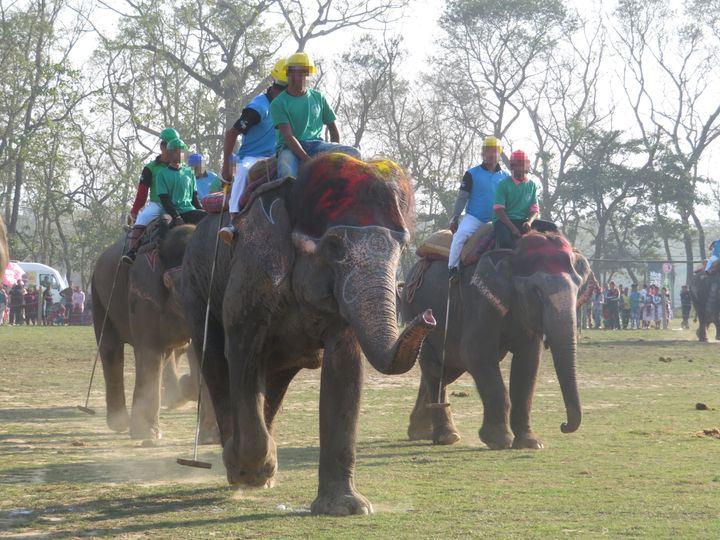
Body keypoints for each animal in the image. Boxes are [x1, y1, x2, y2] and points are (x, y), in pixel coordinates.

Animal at [90, 221, 214, 440]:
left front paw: (211, 437)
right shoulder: (142, 293)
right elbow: (150, 352)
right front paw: (147, 434)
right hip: (99, 294)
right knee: (111, 350)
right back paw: (119, 423)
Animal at [180, 154, 436, 516]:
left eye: (403, 245)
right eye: (334, 245)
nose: (428, 315)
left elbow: (345, 368)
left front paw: (346, 508)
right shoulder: (252, 267)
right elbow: (242, 352)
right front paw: (250, 472)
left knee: (274, 375)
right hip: (195, 286)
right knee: (216, 360)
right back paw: (238, 466)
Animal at [402, 232, 592, 452]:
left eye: (578, 288)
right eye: (536, 291)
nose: (563, 425)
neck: (511, 249)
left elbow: (528, 362)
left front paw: (530, 443)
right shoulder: (479, 299)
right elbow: (476, 353)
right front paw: (499, 440)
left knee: (445, 369)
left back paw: (420, 432)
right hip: (416, 313)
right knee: (434, 366)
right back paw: (446, 436)